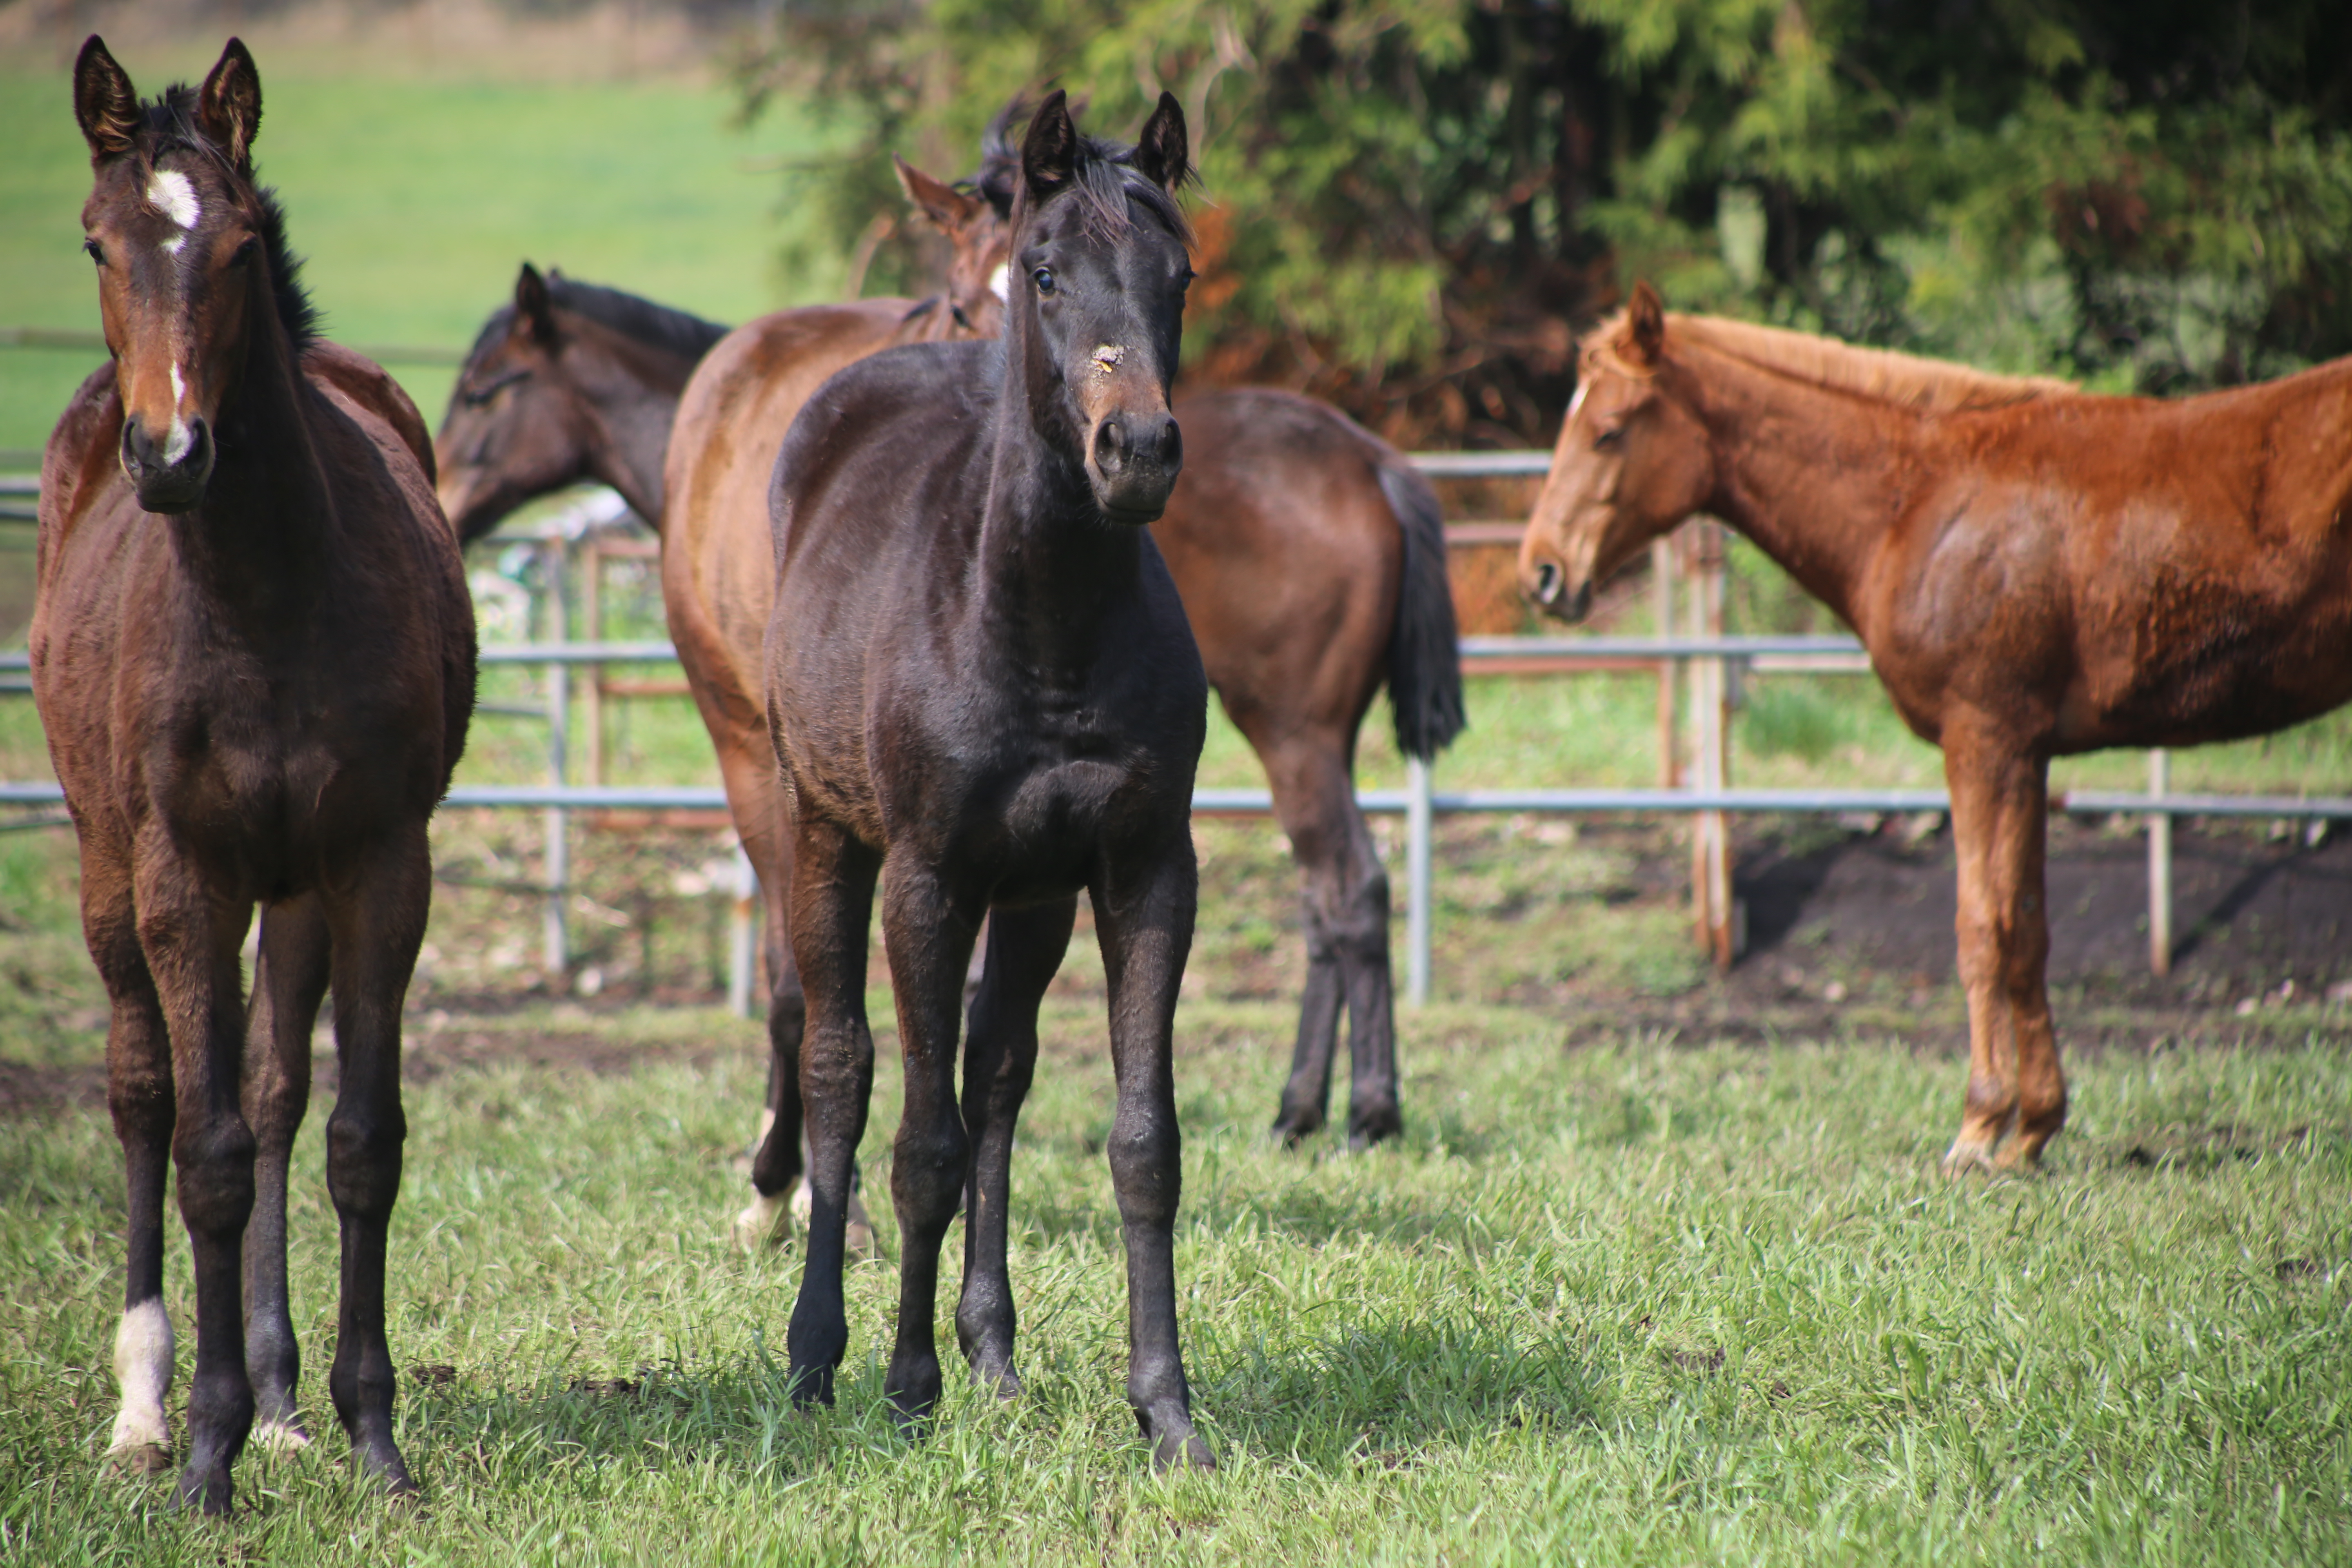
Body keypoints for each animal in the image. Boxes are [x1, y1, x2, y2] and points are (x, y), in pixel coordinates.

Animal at [37, 36, 472, 1504]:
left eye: (232, 248)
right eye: (96, 242)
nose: (171, 457)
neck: (268, 597)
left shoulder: (378, 862)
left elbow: (355, 1140)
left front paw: (368, 1434)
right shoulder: (186, 874)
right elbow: (208, 1153)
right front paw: (206, 1458)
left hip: (295, 891)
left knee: (277, 1091)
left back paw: (282, 1403)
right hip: (110, 866)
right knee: (146, 1094)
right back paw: (148, 1407)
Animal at [766, 89, 1214, 1476]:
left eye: (1182, 275)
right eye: (1050, 272)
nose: (1139, 449)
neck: (1043, 624)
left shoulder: (1142, 869)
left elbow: (1141, 1141)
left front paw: (1167, 1407)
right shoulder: (929, 878)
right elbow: (922, 1144)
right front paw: (907, 1389)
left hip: (1033, 897)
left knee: (996, 1073)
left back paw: (995, 1353)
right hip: (821, 832)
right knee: (843, 1072)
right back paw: (818, 1356)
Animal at [1515, 285, 2352, 1175]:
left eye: (1608, 430)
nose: (1542, 574)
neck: (1921, 499)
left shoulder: (1982, 737)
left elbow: (1982, 927)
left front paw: (1979, 1128)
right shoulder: (2028, 750)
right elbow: (2028, 928)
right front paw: (2034, 1129)